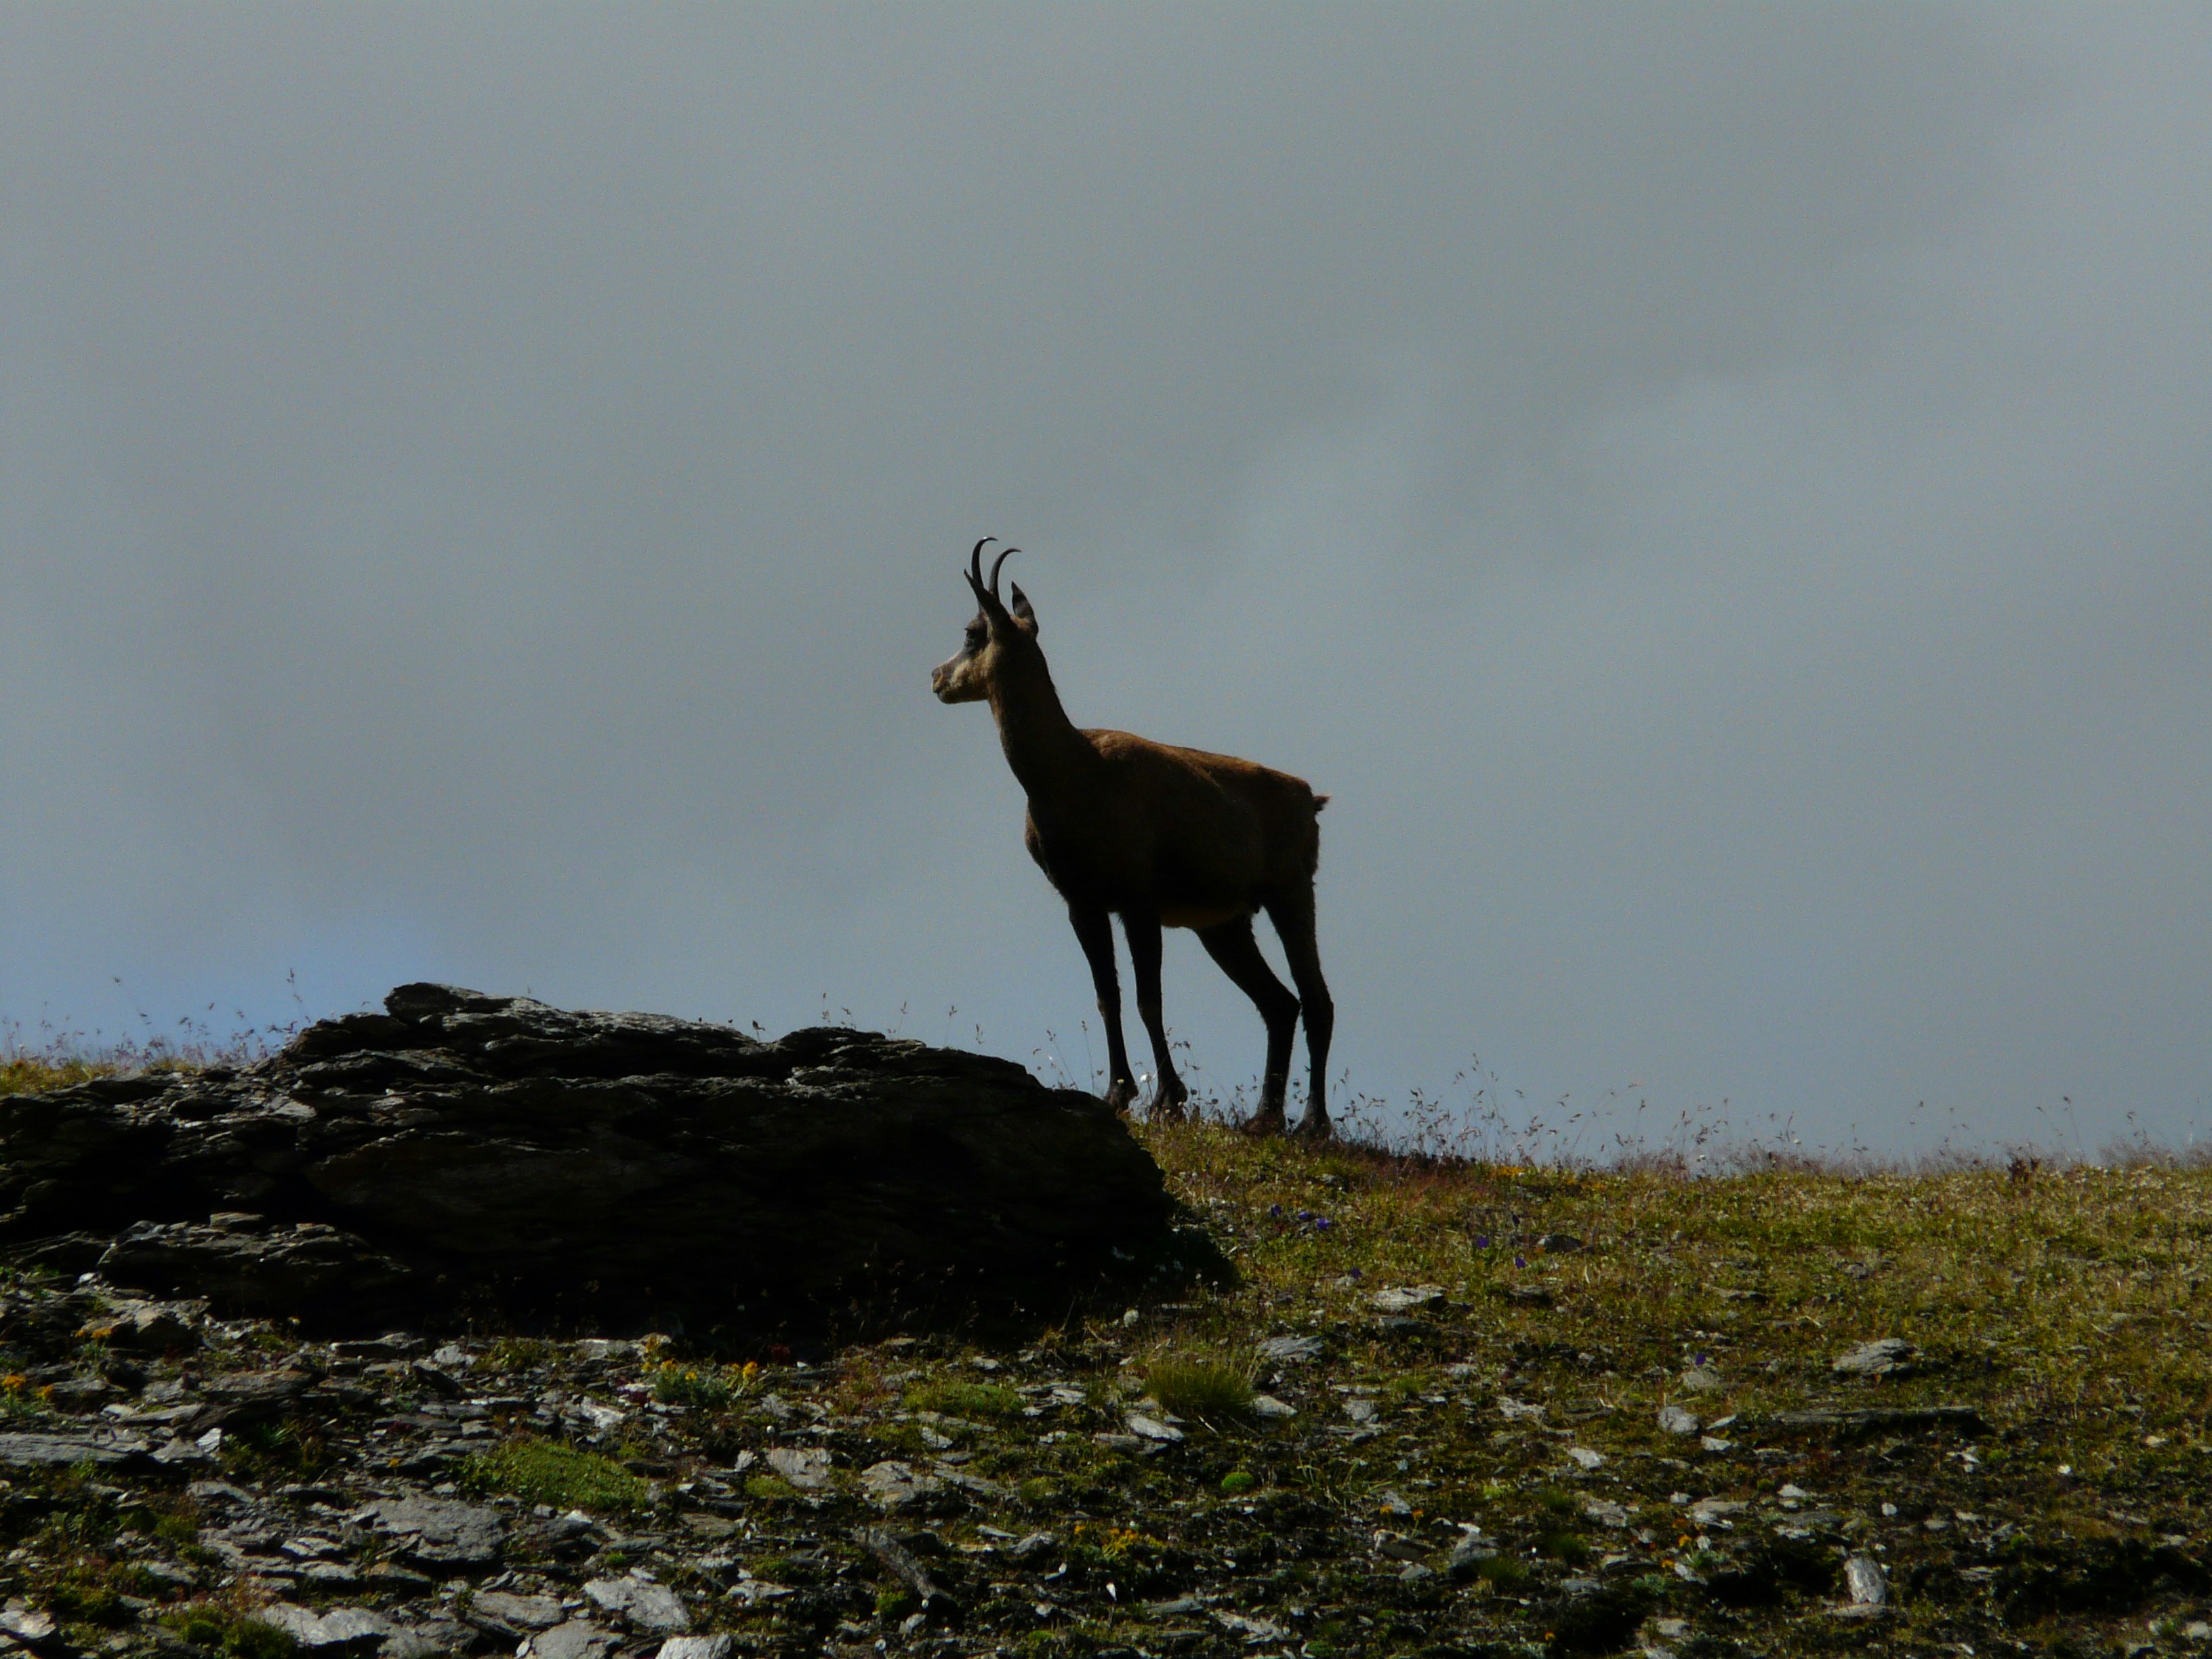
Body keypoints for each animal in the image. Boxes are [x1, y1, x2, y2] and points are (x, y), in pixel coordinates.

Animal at [931, 537, 1336, 1139]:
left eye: (971, 632)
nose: (935, 677)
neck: (1071, 772)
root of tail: (1309, 798)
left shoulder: (1138, 901)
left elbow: (1149, 1000)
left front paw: (1167, 1099)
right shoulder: (1082, 902)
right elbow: (1108, 997)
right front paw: (1118, 1092)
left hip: (1290, 890)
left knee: (1316, 999)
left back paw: (1312, 1123)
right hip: (1224, 923)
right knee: (1279, 1003)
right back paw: (1263, 1118)